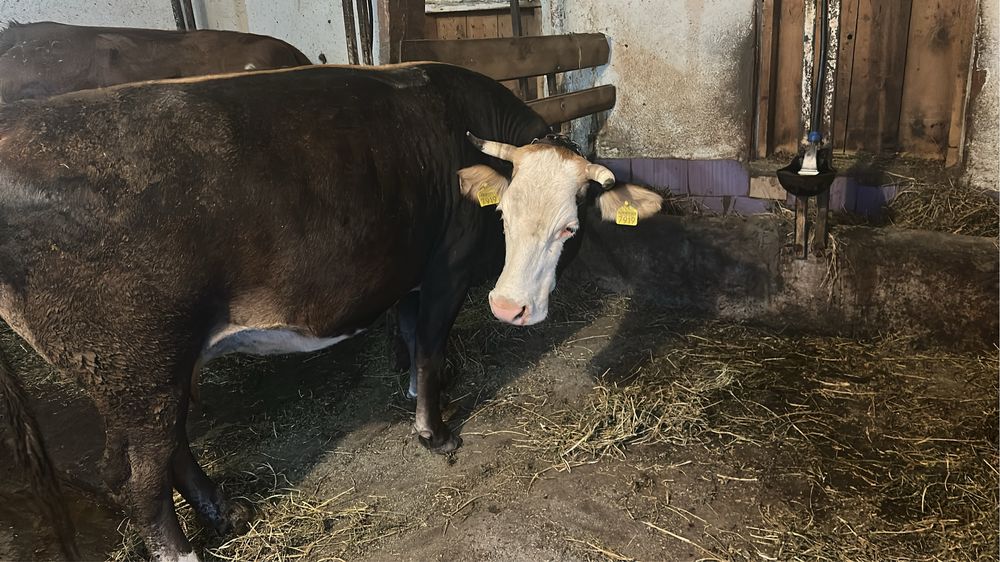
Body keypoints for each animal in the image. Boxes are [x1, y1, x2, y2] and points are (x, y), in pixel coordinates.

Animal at [0, 62, 662, 561]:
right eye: (502, 215)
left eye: (569, 226)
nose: (509, 306)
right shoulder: (445, 271)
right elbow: (430, 342)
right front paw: (435, 430)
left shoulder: (411, 274)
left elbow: (409, 334)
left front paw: (414, 389)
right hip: (134, 361)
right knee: (138, 481)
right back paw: (187, 550)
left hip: (147, 368)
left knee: (173, 449)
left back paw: (226, 512)